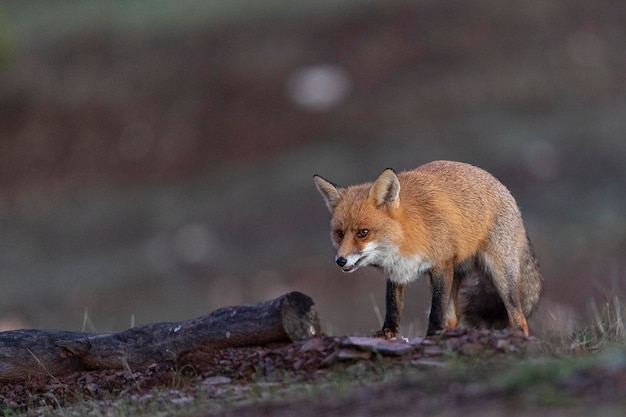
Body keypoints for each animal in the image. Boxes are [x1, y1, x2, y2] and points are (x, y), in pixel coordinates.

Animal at [312, 161, 540, 336]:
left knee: (519, 319)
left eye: (363, 232)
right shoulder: (397, 272)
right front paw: (387, 333)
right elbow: (392, 306)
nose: (340, 260)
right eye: (339, 233)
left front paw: (432, 336)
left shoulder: (441, 265)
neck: (406, 234)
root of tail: (506, 191)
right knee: (454, 318)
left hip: (500, 275)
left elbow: (436, 312)